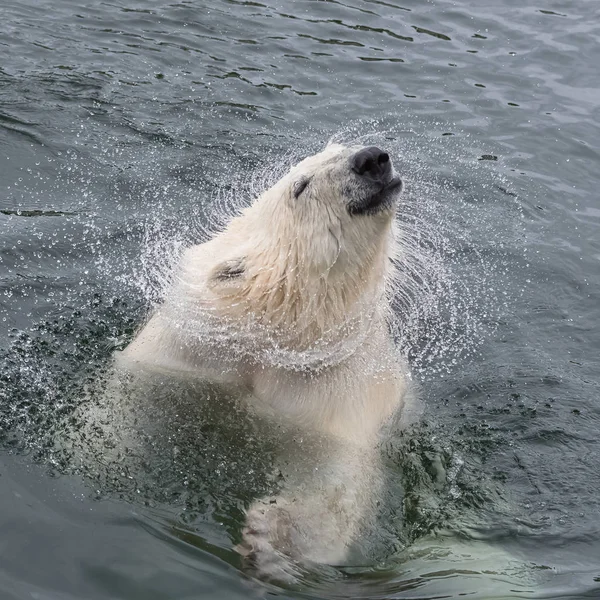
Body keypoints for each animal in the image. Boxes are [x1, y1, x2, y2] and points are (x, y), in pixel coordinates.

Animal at [116, 143, 408, 584]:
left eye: (341, 149)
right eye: (300, 186)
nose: (371, 158)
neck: (272, 339)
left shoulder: (338, 385)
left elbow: (338, 475)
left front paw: (274, 538)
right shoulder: (182, 349)